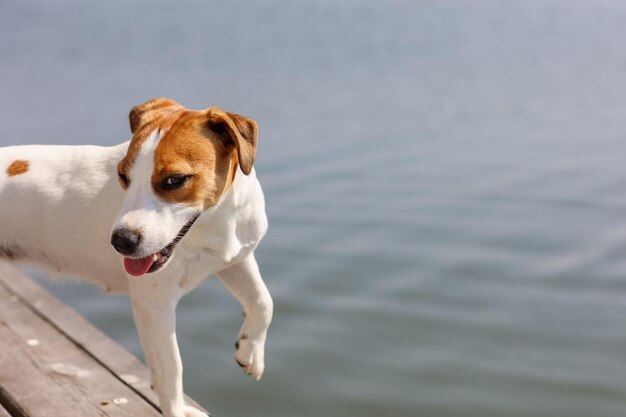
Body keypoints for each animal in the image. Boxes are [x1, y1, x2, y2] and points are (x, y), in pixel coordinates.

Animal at [0, 98, 272, 416]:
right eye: (123, 175)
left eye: (174, 180)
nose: (121, 241)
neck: (215, 221)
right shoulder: (154, 304)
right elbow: (170, 367)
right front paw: (176, 409)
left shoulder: (235, 259)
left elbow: (263, 302)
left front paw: (250, 352)